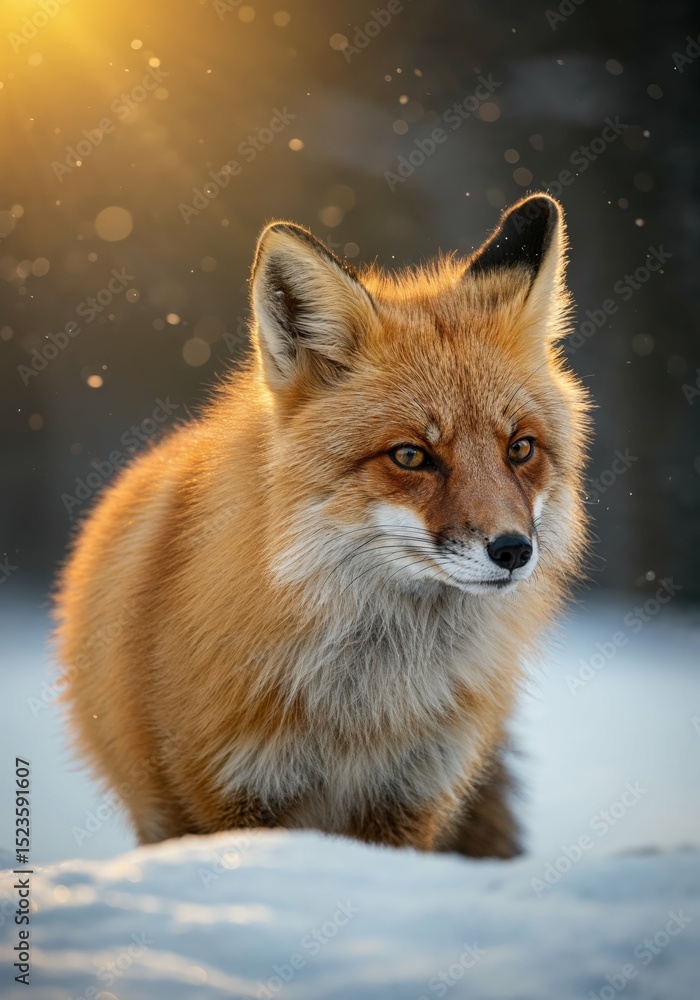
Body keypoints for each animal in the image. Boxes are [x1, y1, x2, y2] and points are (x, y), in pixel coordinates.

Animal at [54, 193, 590, 858]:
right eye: (410, 455)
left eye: (520, 449)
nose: (513, 550)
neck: (366, 705)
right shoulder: (230, 791)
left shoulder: (411, 797)